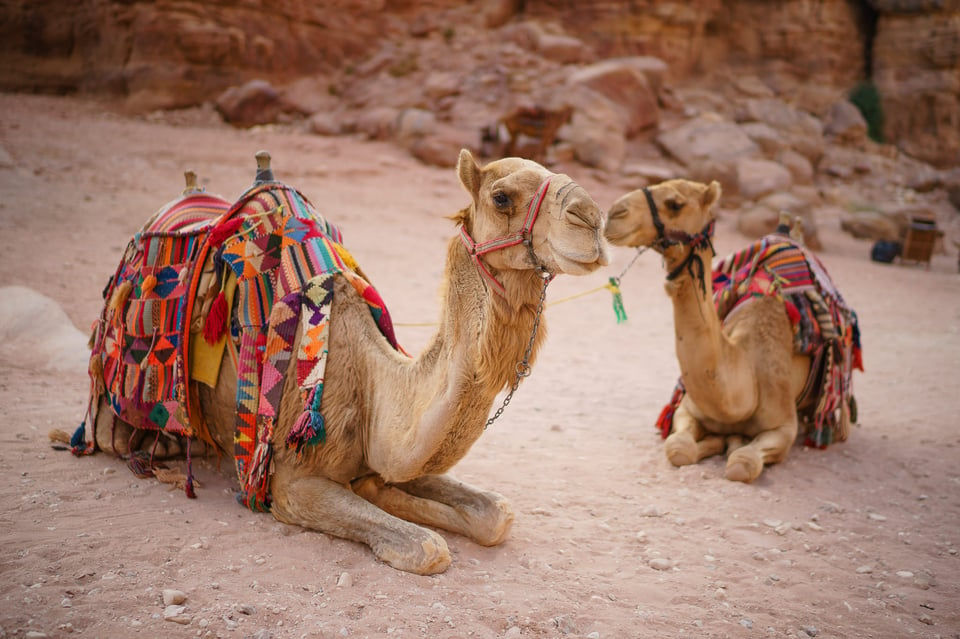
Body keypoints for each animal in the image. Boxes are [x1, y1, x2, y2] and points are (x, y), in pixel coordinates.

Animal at [80, 150, 608, 576]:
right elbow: (429, 549)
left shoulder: (389, 452)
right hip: (115, 407)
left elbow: (496, 514)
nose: (591, 218)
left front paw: (382, 491)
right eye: (501, 197)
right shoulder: (292, 482)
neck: (373, 379)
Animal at [608, 178, 864, 482]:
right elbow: (679, 448)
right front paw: (718, 441)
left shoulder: (783, 427)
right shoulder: (688, 410)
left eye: (675, 204)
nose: (613, 213)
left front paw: (734, 445)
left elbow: (743, 464)